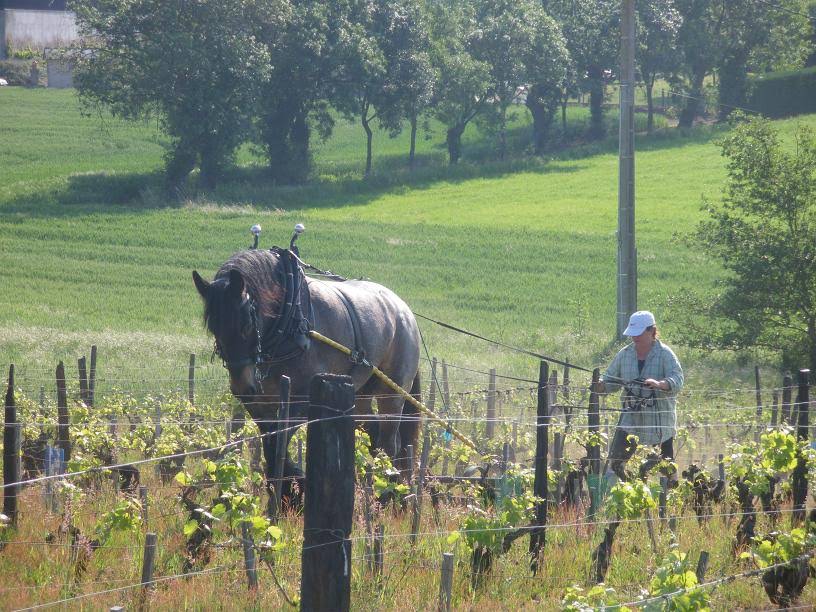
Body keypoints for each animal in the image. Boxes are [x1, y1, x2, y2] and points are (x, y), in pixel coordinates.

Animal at [193, 247, 420, 512]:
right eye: (213, 327)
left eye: (247, 324)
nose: (242, 387)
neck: (289, 321)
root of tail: (404, 310)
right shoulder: (260, 405)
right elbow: (270, 446)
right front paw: (283, 494)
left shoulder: (301, 401)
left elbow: (279, 444)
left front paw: (290, 493)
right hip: (360, 392)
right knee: (372, 433)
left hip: (392, 391)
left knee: (390, 442)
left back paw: (388, 494)